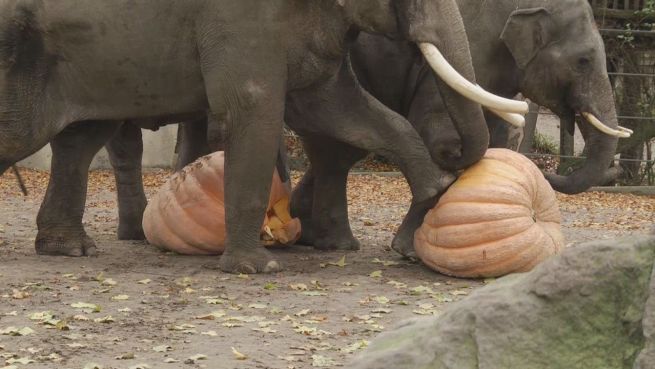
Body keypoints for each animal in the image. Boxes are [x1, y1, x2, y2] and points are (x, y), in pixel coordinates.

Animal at [0, 0, 528, 274]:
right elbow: (257, 109)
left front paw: (436, 189)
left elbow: (336, 105)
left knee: (79, 140)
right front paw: (255, 268)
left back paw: (70, 250)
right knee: (30, 135)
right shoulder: (241, 18)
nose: (454, 153)